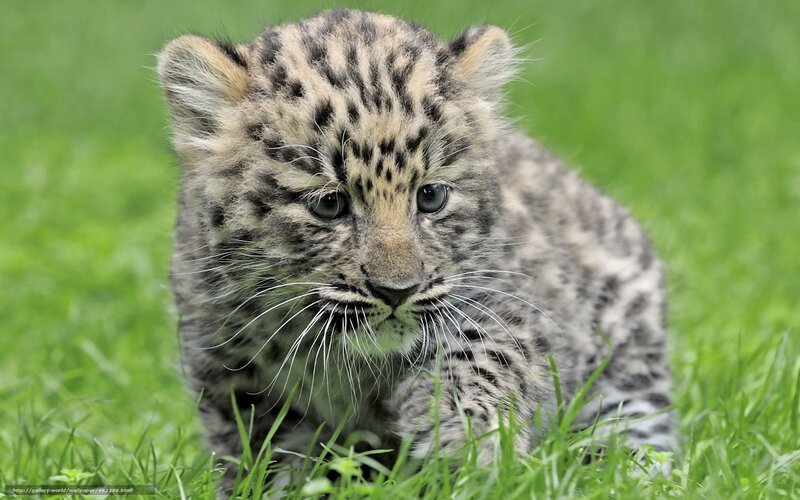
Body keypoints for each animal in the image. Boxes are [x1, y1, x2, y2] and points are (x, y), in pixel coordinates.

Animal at [156, 8, 676, 491]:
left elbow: (485, 356)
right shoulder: (227, 366)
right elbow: (265, 451)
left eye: (431, 197)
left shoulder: (514, 303)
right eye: (329, 204)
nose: (397, 291)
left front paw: (467, 442)